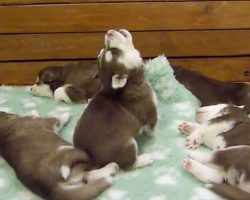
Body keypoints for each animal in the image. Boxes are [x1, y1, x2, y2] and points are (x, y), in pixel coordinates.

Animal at [73, 29, 157, 170]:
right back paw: (145, 159)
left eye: (104, 50)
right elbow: (151, 127)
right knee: (128, 164)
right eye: (114, 53)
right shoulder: (150, 113)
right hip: (129, 145)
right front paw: (152, 134)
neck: (131, 82)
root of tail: (93, 161)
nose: (108, 32)